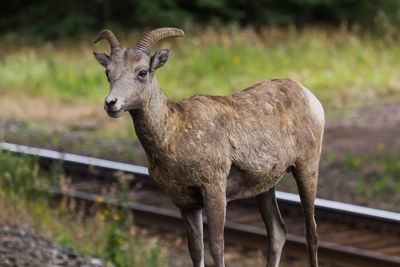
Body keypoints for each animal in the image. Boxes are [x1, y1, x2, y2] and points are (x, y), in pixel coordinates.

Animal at [94, 27, 324, 267]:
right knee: (277, 232)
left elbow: (216, 246)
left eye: (142, 72)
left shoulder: (213, 188)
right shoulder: (185, 202)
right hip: (265, 186)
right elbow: (196, 249)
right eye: (108, 73)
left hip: (307, 168)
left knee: (312, 233)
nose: (111, 103)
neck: (173, 134)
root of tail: (310, 96)